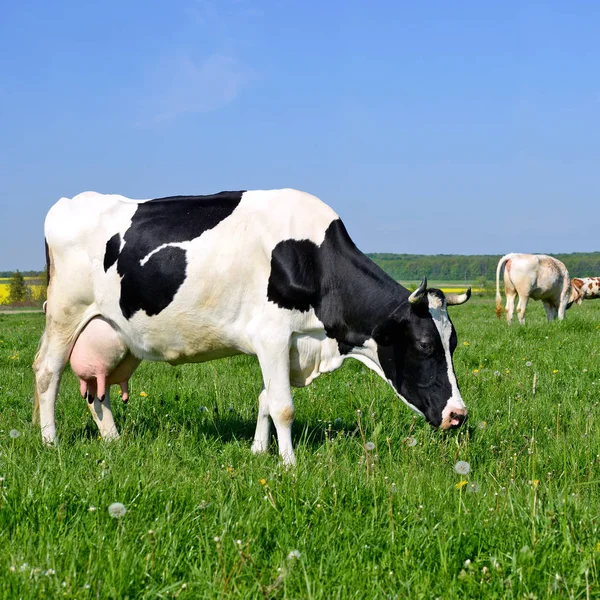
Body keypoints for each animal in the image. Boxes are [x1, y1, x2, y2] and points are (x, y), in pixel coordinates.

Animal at [32, 189, 474, 464]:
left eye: (453, 345)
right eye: (424, 345)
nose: (458, 415)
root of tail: (69, 202)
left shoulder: (286, 343)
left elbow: (264, 398)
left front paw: (259, 452)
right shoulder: (273, 335)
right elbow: (282, 405)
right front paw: (289, 463)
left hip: (109, 331)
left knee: (96, 388)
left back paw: (113, 440)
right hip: (65, 313)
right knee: (48, 372)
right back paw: (50, 441)